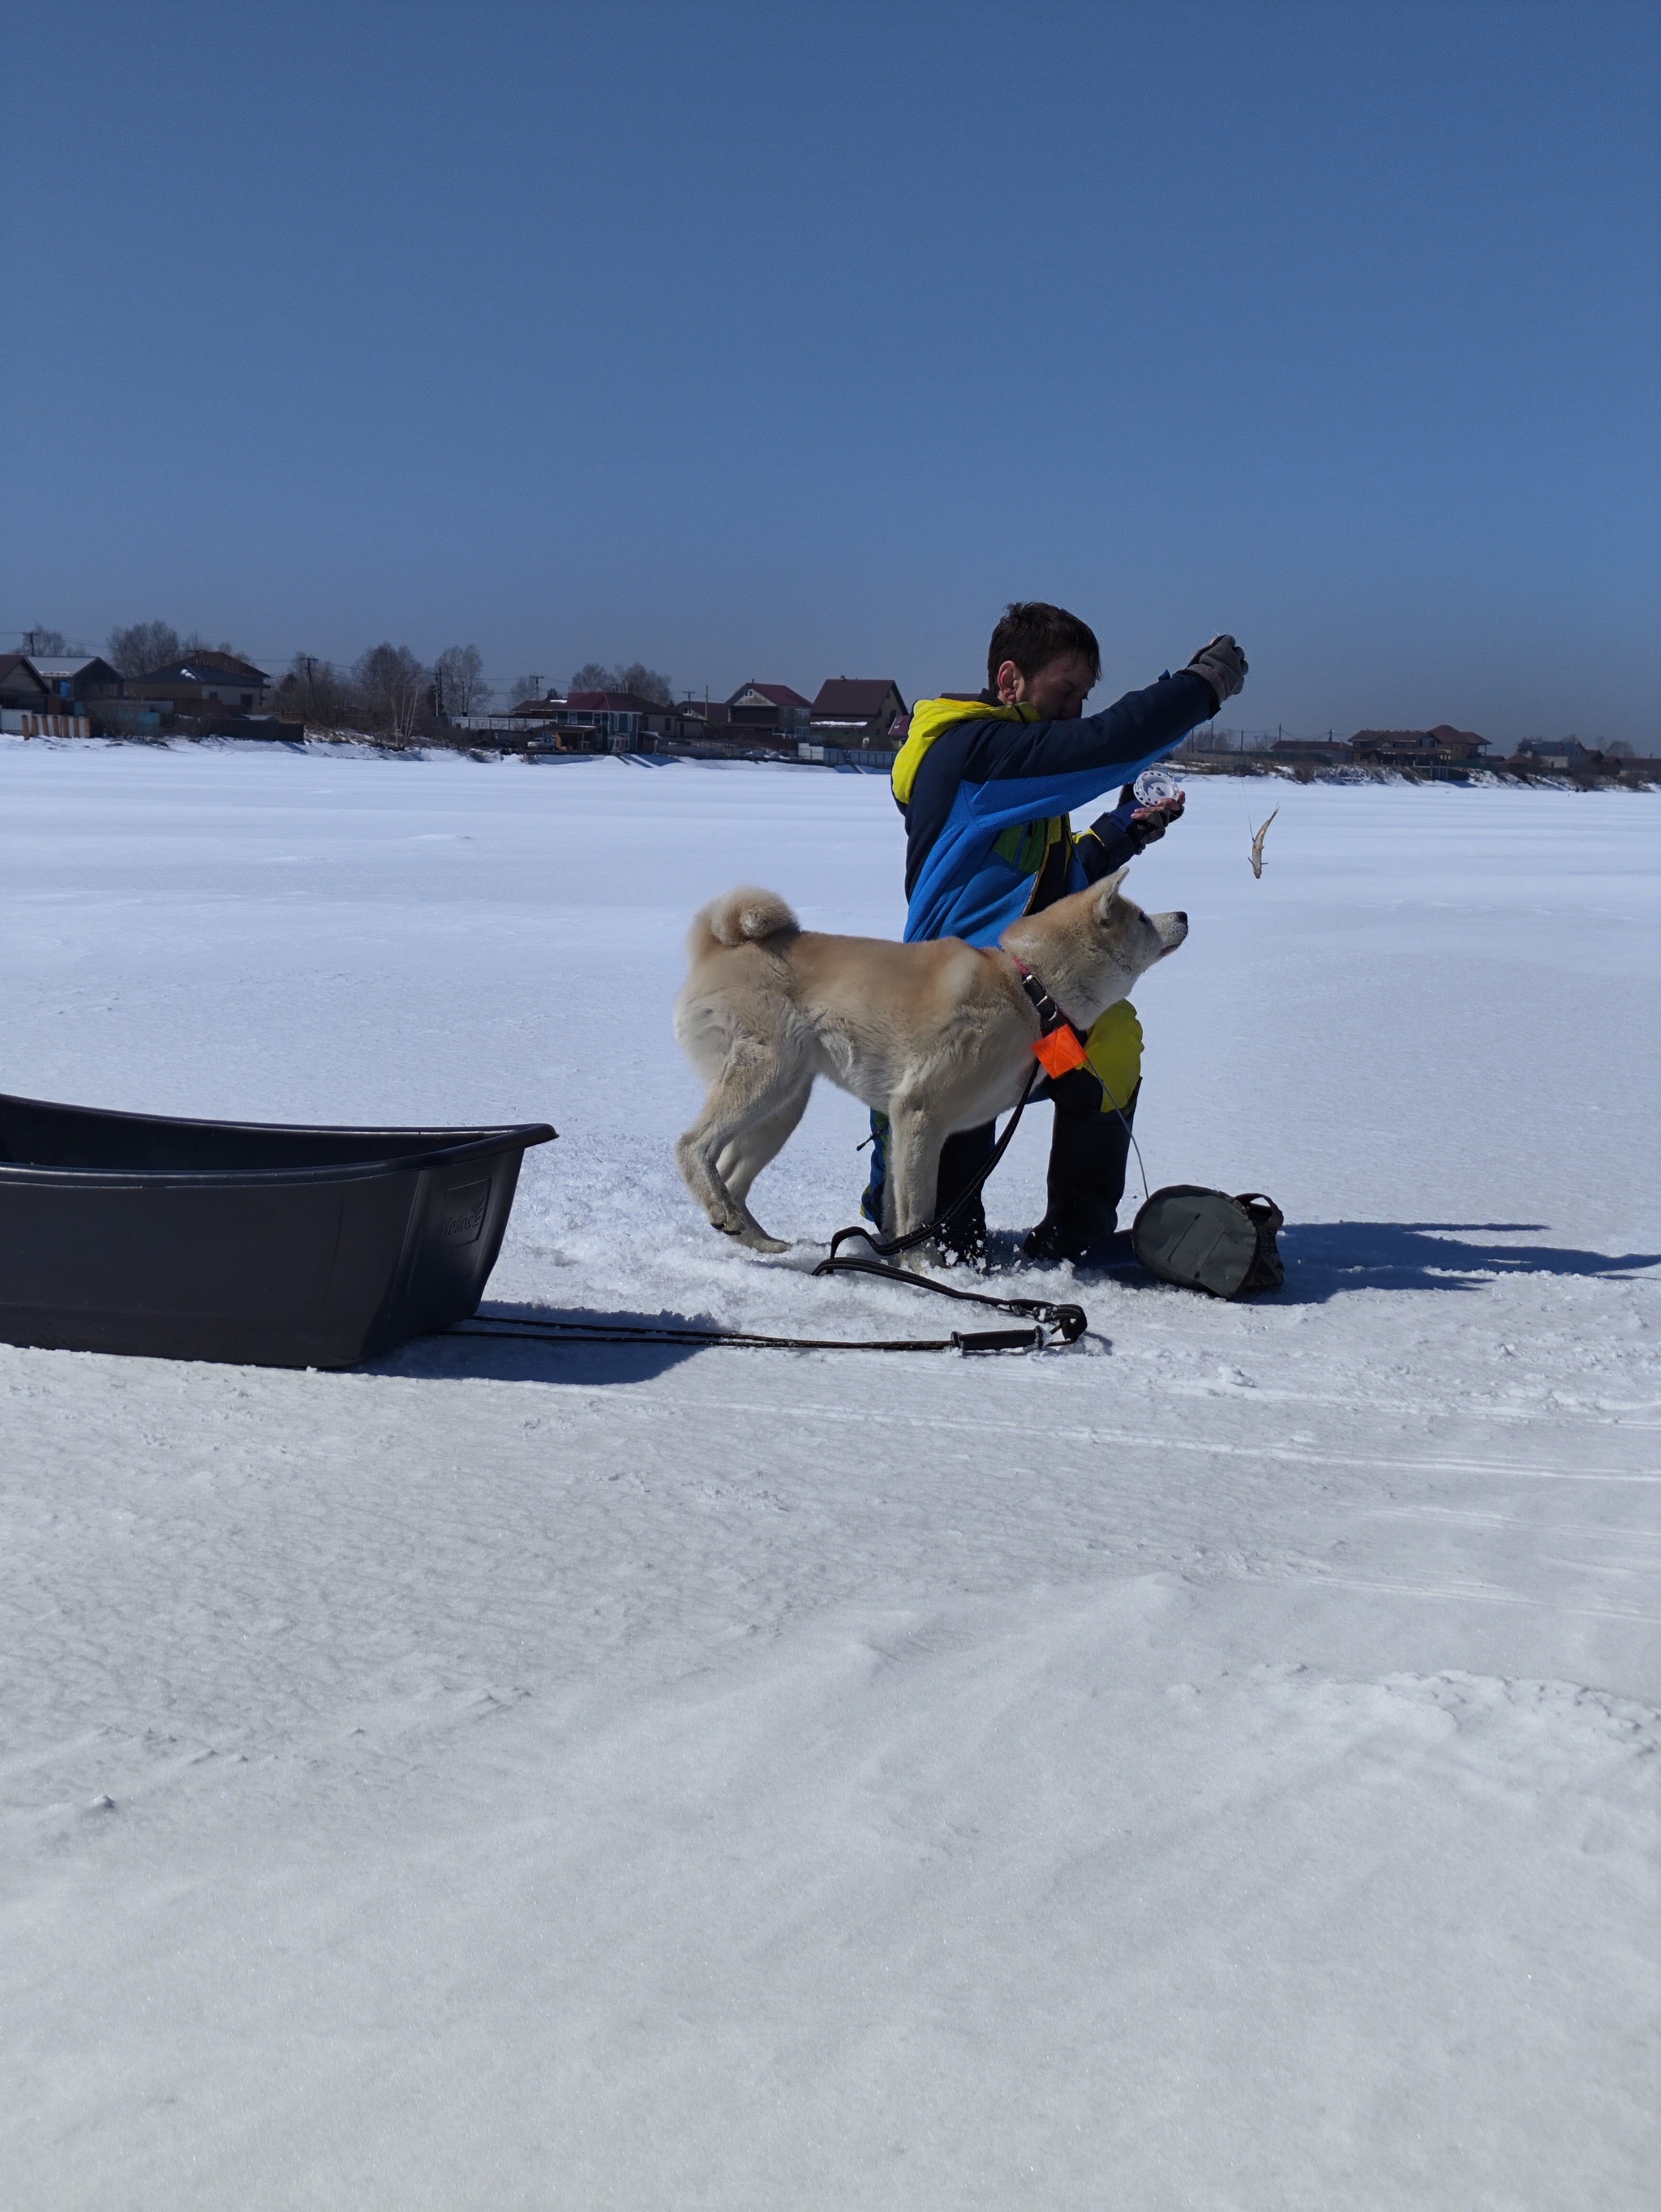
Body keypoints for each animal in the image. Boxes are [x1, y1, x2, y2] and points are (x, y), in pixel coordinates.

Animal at [667, 871, 1185, 1256]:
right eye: (1141, 917)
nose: (1181, 914)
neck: (1031, 988)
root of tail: (717, 946)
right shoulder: (920, 1113)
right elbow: (920, 1213)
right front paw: (927, 1270)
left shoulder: (902, 1125)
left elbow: (898, 1210)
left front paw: (899, 1263)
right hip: (767, 1077)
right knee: (693, 1146)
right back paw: (723, 1211)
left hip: (784, 1105)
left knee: (732, 1176)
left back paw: (754, 1238)